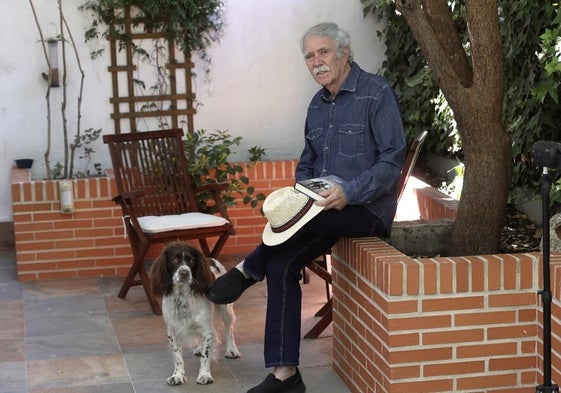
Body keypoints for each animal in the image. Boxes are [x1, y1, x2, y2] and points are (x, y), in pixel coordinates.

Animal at [150, 240, 240, 384]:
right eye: (174, 259)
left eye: (191, 260)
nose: (184, 273)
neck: (182, 297)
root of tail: (211, 259)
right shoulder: (172, 330)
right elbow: (178, 356)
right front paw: (177, 376)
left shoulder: (206, 329)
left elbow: (206, 355)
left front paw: (205, 375)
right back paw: (199, 348)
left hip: (225, 308)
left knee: (228, 328)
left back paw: (232, 350)